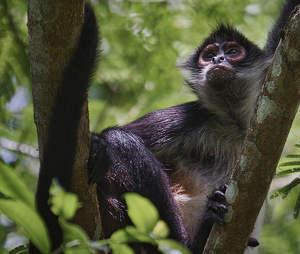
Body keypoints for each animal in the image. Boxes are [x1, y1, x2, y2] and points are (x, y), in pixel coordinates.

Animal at [30, 0, 300, 254]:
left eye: (233, 51)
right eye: (208, 55)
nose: (218, 59)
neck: (233, 124)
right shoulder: (192, 117)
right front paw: (98, 144)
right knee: (122, 141)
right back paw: (196, 242)